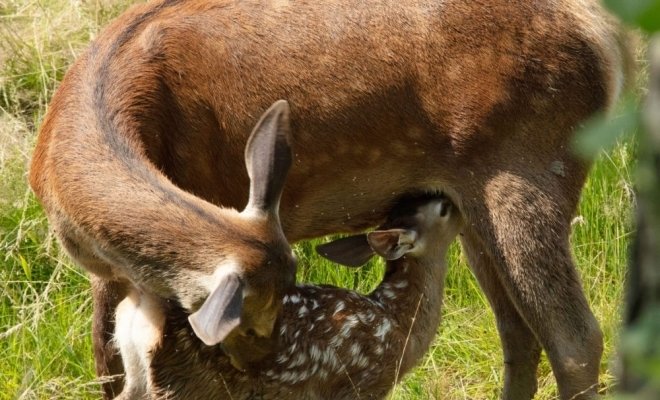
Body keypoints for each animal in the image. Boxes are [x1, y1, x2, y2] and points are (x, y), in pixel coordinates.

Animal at [28, 0, 632, 398]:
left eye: (257, 317)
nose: (260, 364)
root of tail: (600, 32)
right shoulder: (110, 274)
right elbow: (107, 367)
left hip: (529, 166)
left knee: (576, 339)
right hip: (473, 201)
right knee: (519, 333)